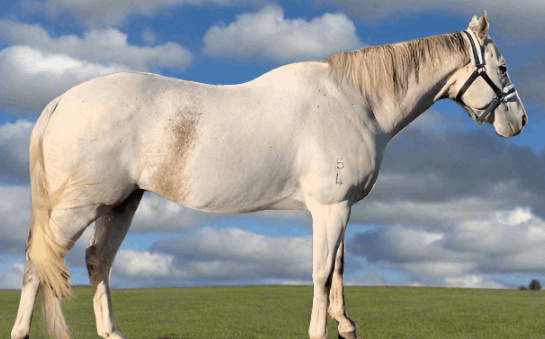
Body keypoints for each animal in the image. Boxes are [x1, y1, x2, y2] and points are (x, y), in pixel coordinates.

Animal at [10, 11, 524, 339]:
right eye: (500, 67)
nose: (518, 122)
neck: (354, 101)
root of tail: (61, 100)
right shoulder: (329, 208)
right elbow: (321, 272)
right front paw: (321, 330)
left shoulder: (340, 209)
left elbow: (339, 268)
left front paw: (346, 325)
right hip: (80, 207)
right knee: (40, 261)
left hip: (120, 203)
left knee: (98, 261)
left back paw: (112, 332)